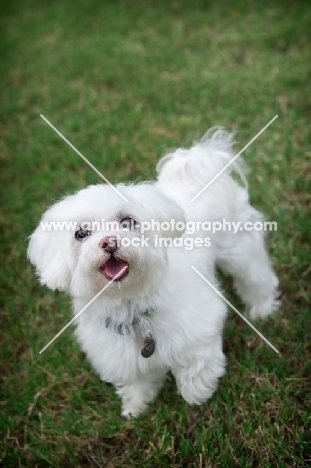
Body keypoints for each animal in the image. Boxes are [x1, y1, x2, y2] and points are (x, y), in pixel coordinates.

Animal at [27, 127, 280, 416]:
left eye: (127, 221)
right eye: (81, 233)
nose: (110, 242)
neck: (133, 305)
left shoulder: (198, 326)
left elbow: (196, 365)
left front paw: (196, 395)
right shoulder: (121, 357)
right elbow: (138, 382)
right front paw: (136, 406)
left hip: (239, 248)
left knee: (257, 278)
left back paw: (262, 309)